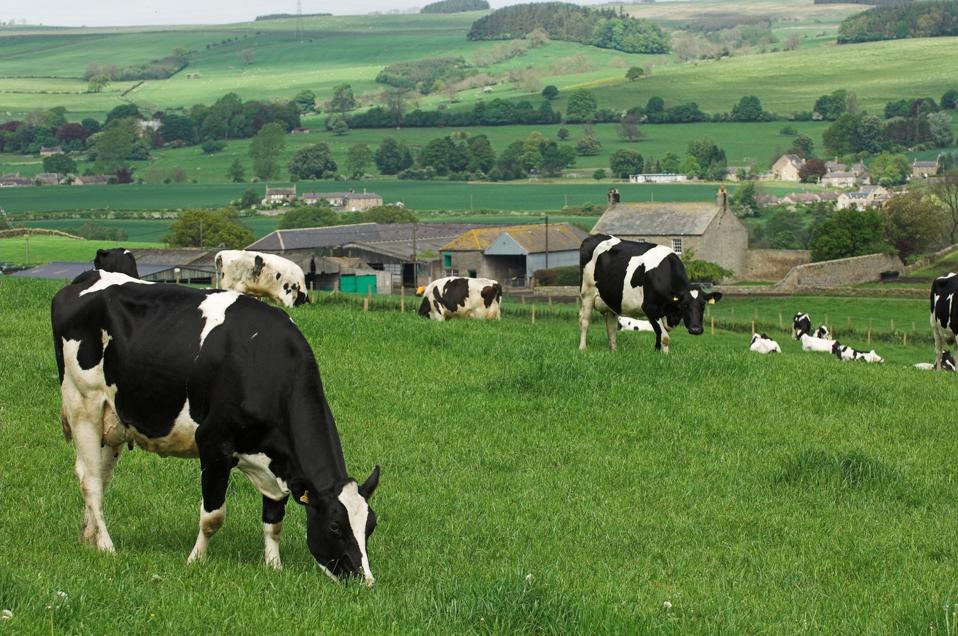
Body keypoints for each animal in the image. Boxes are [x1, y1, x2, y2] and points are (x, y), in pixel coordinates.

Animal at [52, 270, 380, 585]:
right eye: (335, 527)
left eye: (371, 525)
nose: (365, 580)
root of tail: (87, 277)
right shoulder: (213, 444)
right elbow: (213, 517)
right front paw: (195, 560)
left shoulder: (277, 460)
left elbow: (274, 520)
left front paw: (274, 566)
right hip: (83, 404)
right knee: (90, 480)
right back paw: (107, 546)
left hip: (114, 421)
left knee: (101, 476)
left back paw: (90, 539)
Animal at [578, 234, 721, 352]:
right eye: (685, 305)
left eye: (703, 305)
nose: (696, 330)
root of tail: (592, 237)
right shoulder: (650, 308)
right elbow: (664, 337)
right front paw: (665, 356)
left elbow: (659, 335)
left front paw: (657, 353)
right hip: (587, 293)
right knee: (584, 321)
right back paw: (582, 348)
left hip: (612, 300)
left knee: (611, 326)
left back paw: (614, 351)